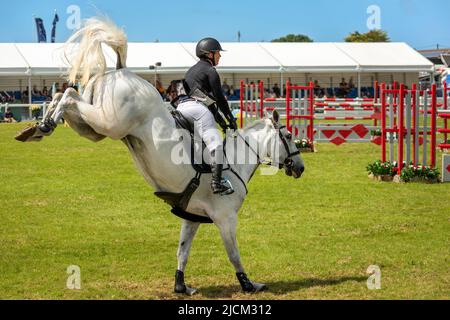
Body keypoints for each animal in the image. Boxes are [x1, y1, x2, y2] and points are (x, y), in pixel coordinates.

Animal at [17, 16, 306, 294]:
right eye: (288, 136)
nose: (300, 167)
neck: (236, 161)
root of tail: (121, 70)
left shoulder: (192, 217)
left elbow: (182, 251)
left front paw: (181, 285)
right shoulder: (225, 218)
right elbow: (234, 255)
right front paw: (248, 284)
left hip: (94, 127)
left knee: (65, 94)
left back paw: (38, 128)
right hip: (108, 122)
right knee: (67, 95)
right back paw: (43, 126)